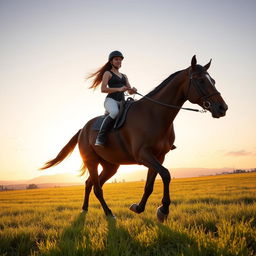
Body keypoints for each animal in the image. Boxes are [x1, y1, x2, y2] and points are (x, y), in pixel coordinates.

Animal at [40, 55, 228, 222]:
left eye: (213, 81)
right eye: (200, 80)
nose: (222, 108)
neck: (154, 114)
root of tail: (82, 129)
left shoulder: (158, 156)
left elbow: (150, 184)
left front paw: (139, 208)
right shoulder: (143, 155)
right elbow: (166, 174)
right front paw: (163, 210)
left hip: (111, 166)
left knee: (89, 184)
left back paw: (85, 209)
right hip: (92, 161)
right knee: (97, 188)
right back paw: (109, 213)